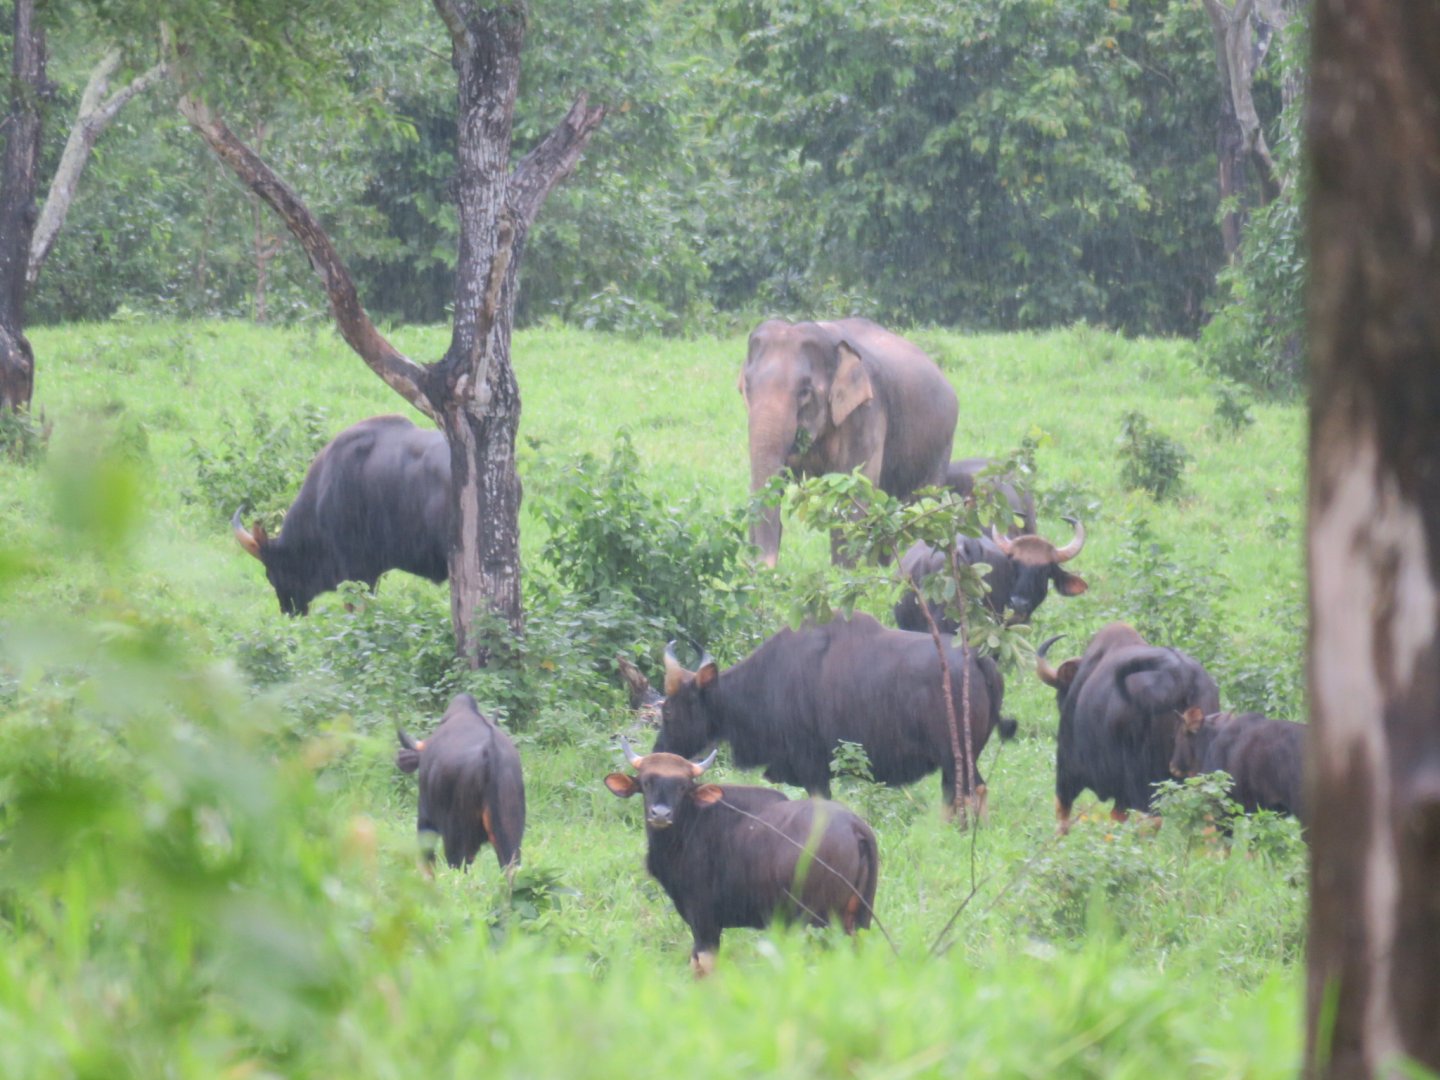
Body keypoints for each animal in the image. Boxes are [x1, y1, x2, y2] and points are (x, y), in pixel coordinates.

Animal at [739, 318, 959, 566]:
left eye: (805, 391)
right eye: (747, 386)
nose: (765, 567)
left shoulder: (865, 414)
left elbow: (853, 491)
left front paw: (843, 573)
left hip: (940, 447)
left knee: (921, 502)